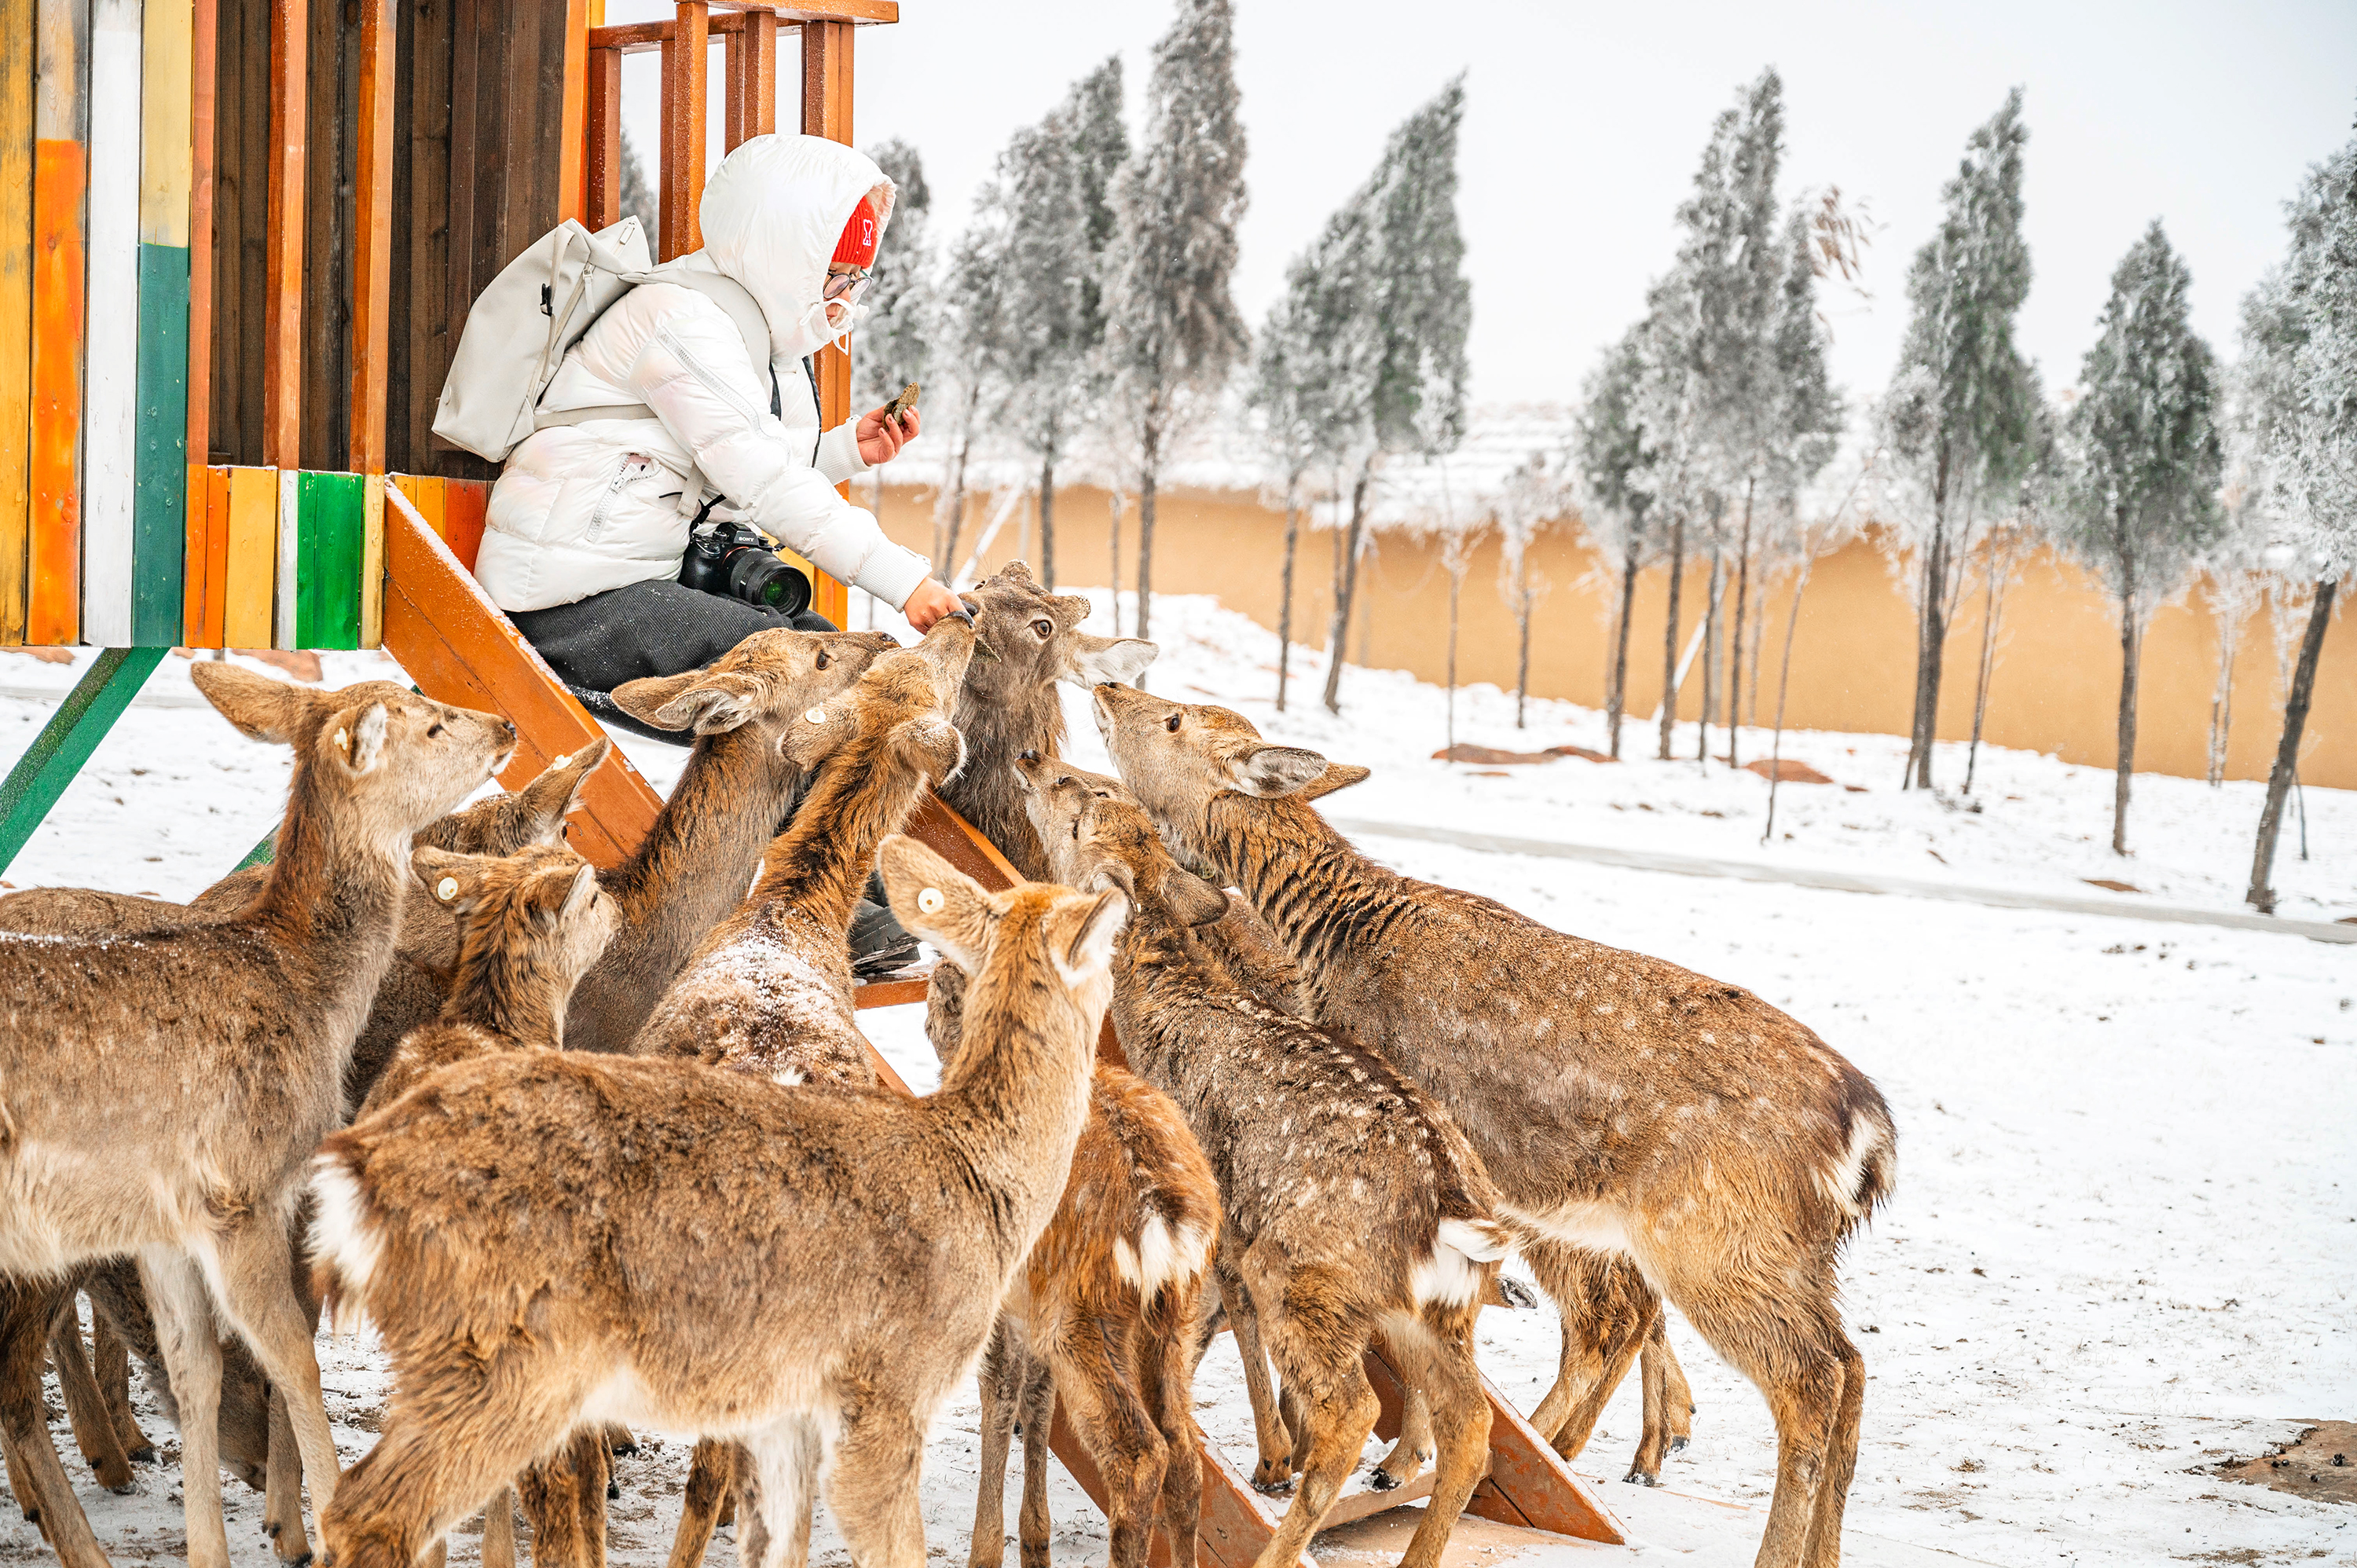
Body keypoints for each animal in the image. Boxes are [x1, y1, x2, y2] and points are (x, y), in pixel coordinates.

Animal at [0, 665, 514, 1565]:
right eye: (431, 724)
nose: (507, 727)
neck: (309, 996)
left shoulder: (162, 1221)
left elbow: (194, 1369)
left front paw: (210, 1546)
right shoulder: (242, 1190)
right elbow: (295, 1356)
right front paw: (325, 1527)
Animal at [1018, 754, 1499, 1565]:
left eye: (1082, 800)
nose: (1032, 761)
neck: (1174, 1011)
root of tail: (1456, 1212)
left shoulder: (1224, 1216)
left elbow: (1228, 1314)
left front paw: (1274, 1456)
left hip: (1306, 1272)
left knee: (1355, 1409)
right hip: (1434, 1309)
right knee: (1471, 1421)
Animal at [1089, 688, 1895, 1568]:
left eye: (1174, 720)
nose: (1109, 691)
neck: (1325, 947)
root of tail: (1867, 1136)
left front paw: (1382, 1458)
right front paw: (1393, 1457)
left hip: (1714, 1237)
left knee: (1796, 1377)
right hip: (1786, 1252)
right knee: (1847, 1364)